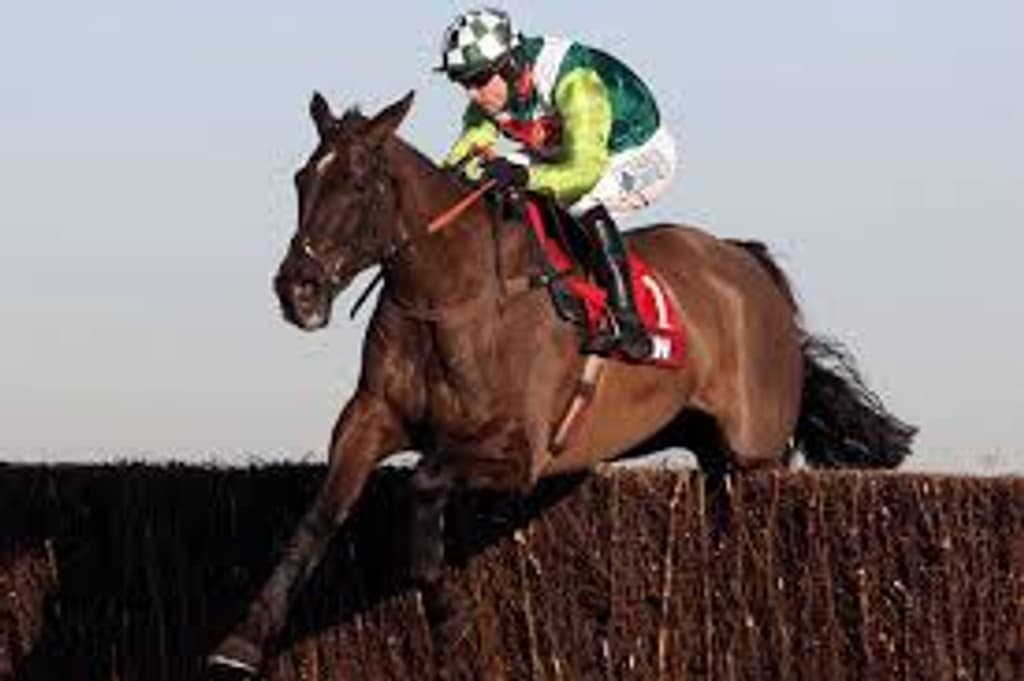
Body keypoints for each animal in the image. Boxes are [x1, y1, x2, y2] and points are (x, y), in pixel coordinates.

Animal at [208, 91, 916, 676]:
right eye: (303, 178)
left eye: (356, 183)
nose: (297, 290)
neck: (452, 294)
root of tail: (748, 263)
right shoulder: (369, 419)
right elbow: (318, 518)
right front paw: (240, 643)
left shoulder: (519, 451)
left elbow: (424, 485)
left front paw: (449, 626)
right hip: (712, 456)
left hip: (756, 456)